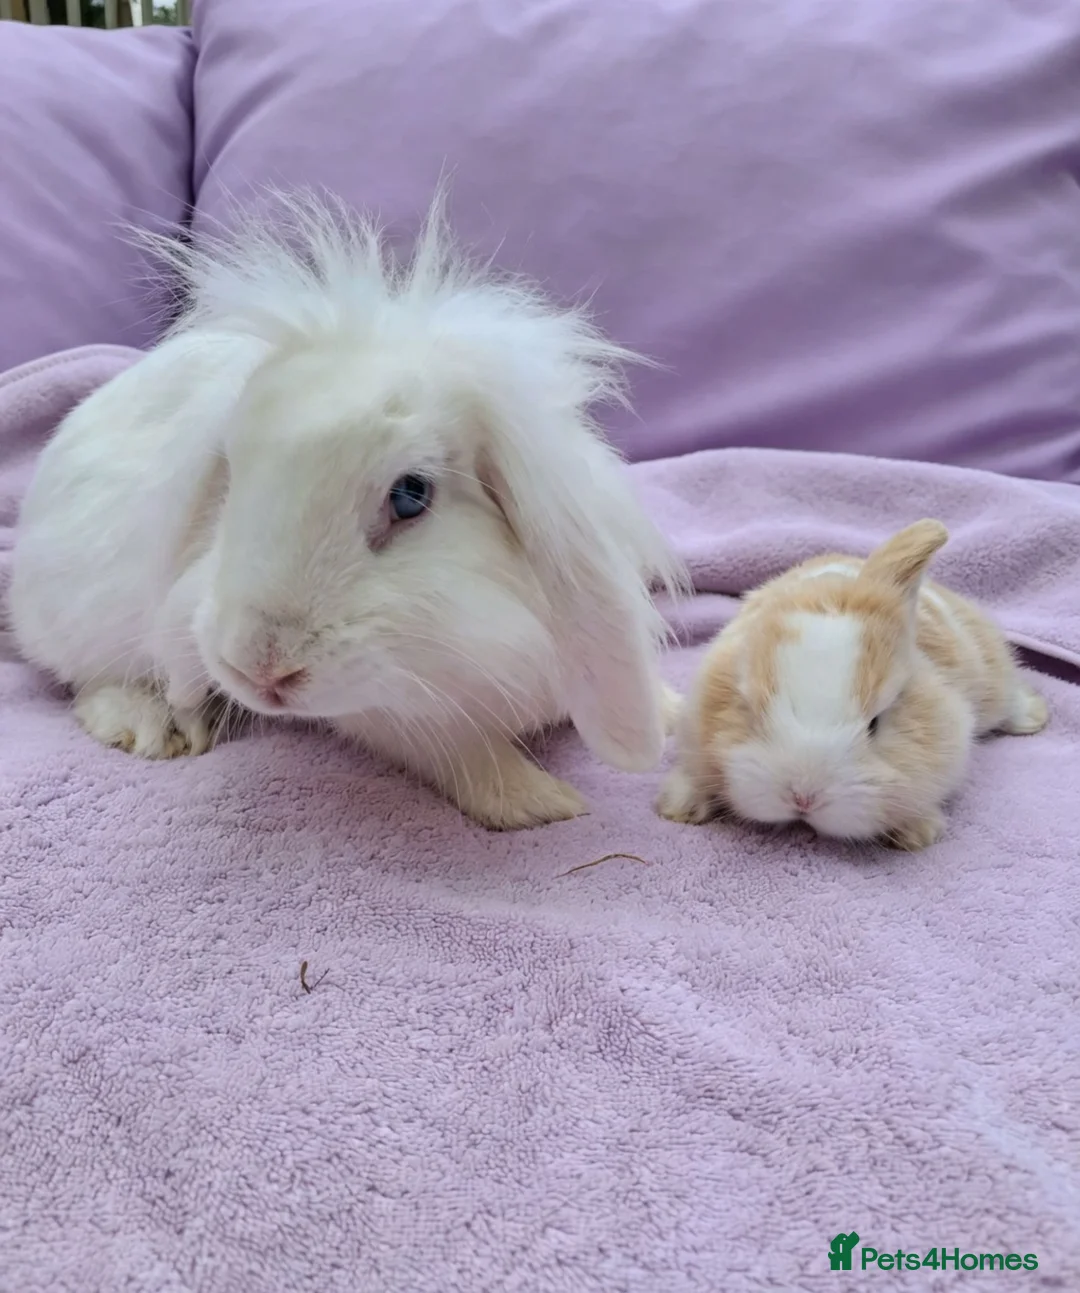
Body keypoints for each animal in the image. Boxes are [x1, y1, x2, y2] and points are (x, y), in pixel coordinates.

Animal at [9, 191, 687, 830]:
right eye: (231, 476)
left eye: (411, 494)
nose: (258, 668)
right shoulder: (392, 716)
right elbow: (461, 753)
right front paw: (540, 803)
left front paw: (673, 711)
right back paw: (155, 725)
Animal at [656, 519, 1048, 850]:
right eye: (749, 709)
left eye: (875, 724)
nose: (803, 797)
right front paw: (678, 807)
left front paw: (917, 834)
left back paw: (1034, 718)